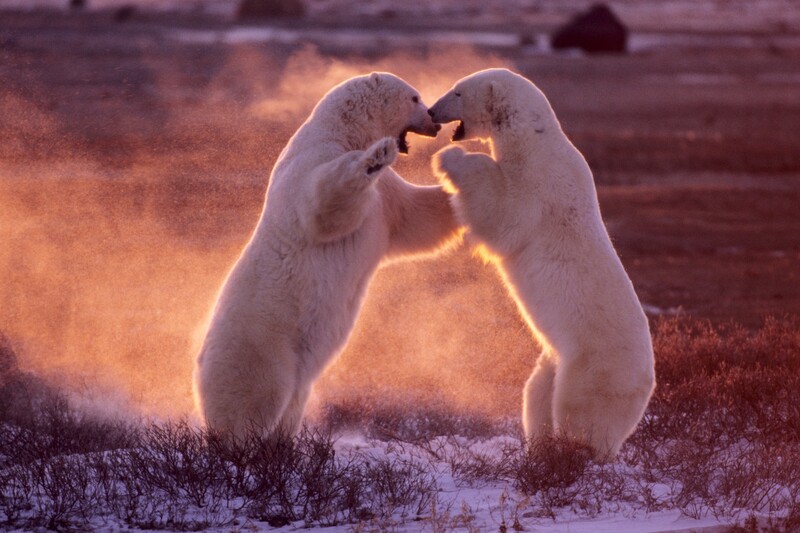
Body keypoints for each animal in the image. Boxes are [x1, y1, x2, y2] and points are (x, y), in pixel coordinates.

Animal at [194, 72, 461, 440]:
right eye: (415, 98)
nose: (434, 122)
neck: (342, 130)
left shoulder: (388, 198)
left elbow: (420, 216)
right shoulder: (312, 163)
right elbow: (324, 204)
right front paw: (377, 155)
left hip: (293, 375)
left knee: (290, 409)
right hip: (260, 346)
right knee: (254, 401)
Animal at [429, 68, 655, 459]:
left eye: (457, 92)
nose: (431, 110)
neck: (534, 140)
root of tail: (648, 382)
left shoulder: (540, 183)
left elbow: (505, 215)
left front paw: (449, 158)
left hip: (595, 365)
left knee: (577, 410)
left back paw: (572, 451)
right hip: (555, 357)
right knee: (536, 394)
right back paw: (537, 447)